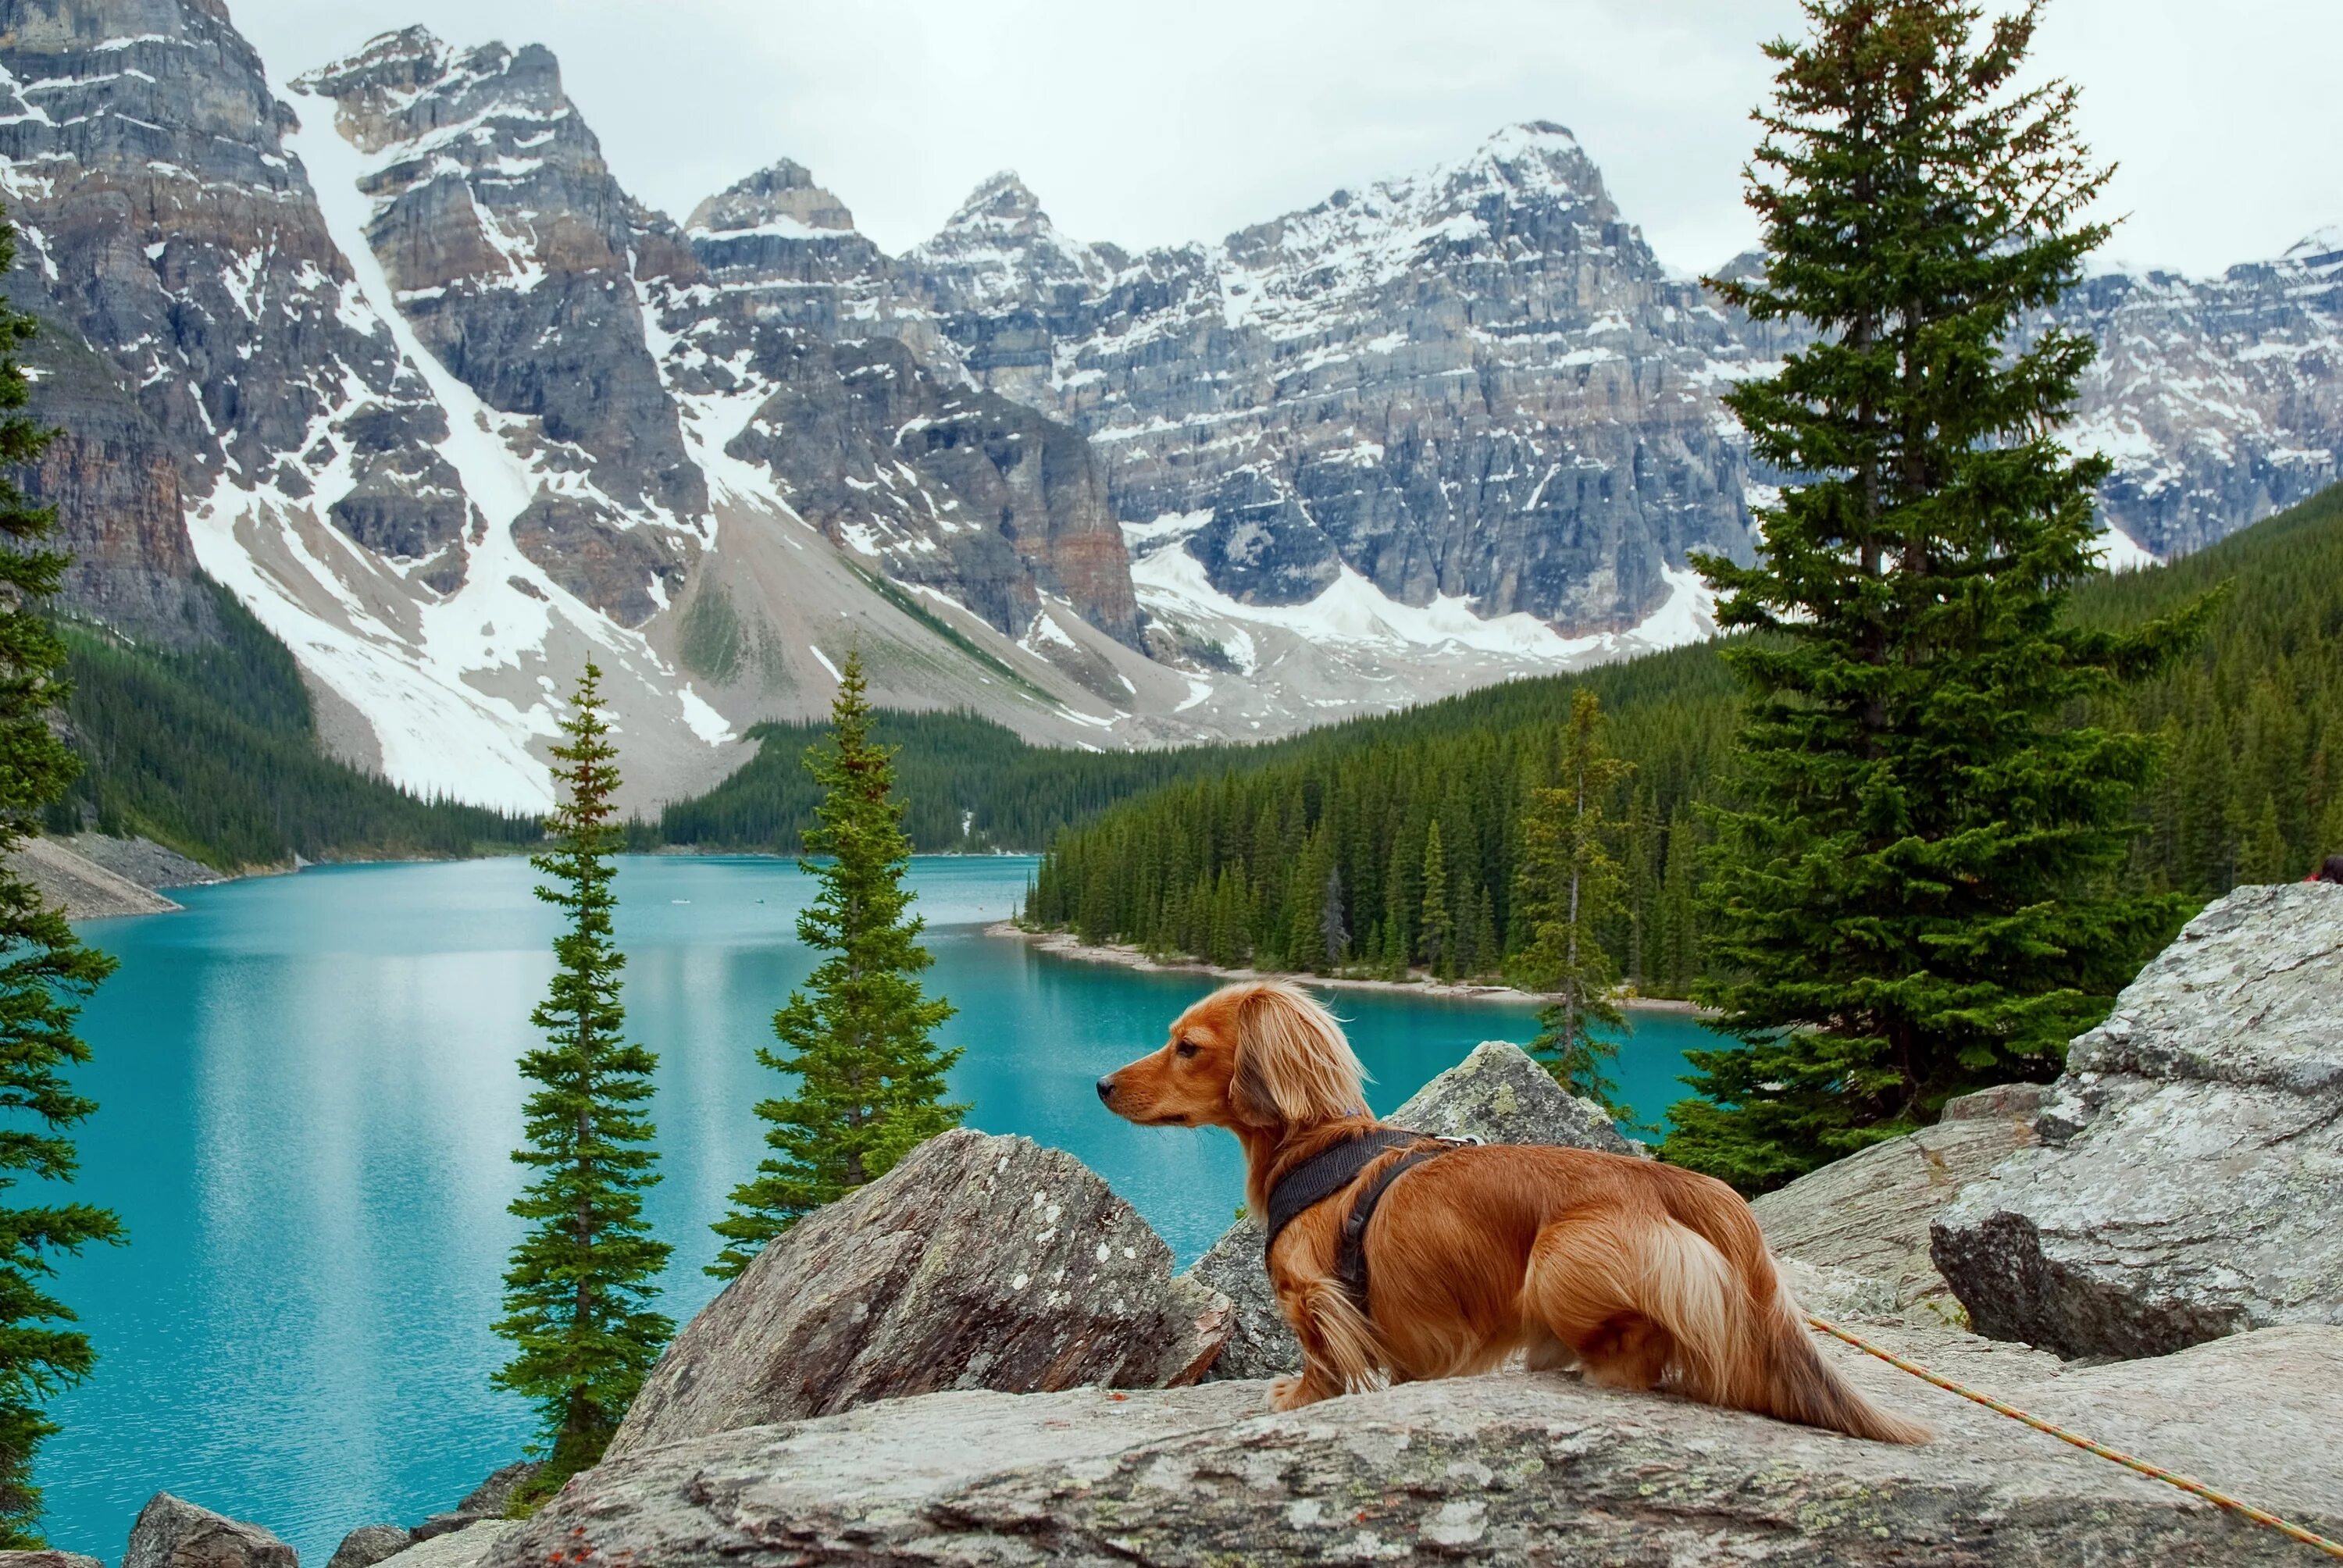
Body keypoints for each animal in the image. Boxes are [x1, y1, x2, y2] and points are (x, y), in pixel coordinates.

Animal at [1092, 979, 1921, 1443]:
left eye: (1188, 1046)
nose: (1099, 1084)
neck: (1315, 1148)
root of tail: (1682, 1186)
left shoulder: (1316, 1296)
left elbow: (1324, 1360)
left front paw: (1296, 1397)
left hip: (1558, 1260)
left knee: (1643, 1352)